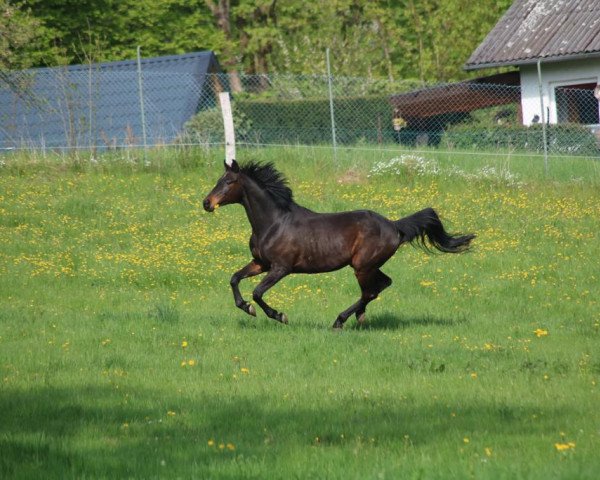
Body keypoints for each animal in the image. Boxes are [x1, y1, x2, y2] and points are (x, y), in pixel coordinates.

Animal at [204, 159, 476, 328]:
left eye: (228, 182)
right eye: (218, 179)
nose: (206, 203)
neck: (274, 223)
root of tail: (394, 226)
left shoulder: (281, 268)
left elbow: (258, 292)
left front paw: (278, 315)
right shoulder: (260, 263)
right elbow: (234, 279)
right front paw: (246, 307)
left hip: (362, 266)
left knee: (371, 290)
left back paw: (340, 320)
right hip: (368, 266)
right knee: (382, 285)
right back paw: (359, 317)